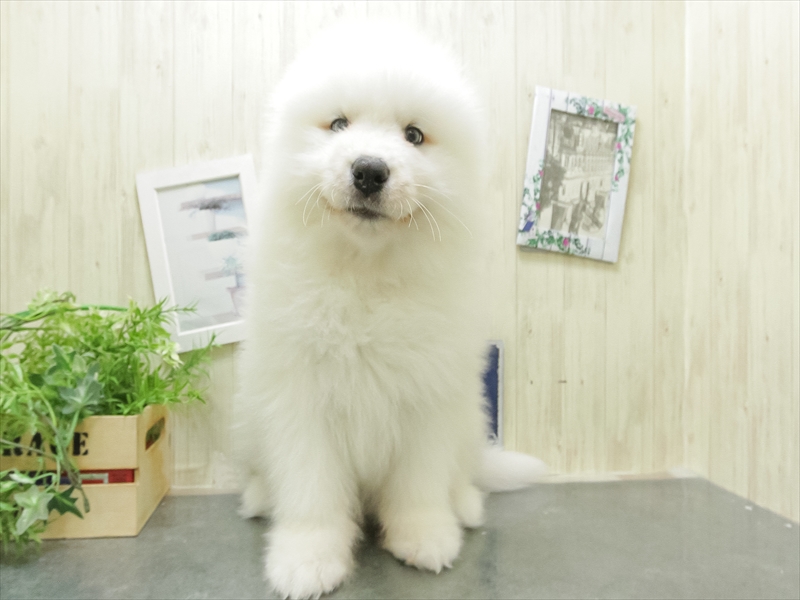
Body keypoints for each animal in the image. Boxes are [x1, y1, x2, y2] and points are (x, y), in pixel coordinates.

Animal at [234, 22, 545, 599]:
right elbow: (311, 491)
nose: (369, 171)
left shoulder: (427, 396)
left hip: (468, 416)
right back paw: (259, 497)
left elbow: (419, 483)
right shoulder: (300, 399)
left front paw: (424, 537)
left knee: (461, 472)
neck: (366, 274)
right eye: (338, 124)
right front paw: (307, 558)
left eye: (414, 136)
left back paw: (465, 507)